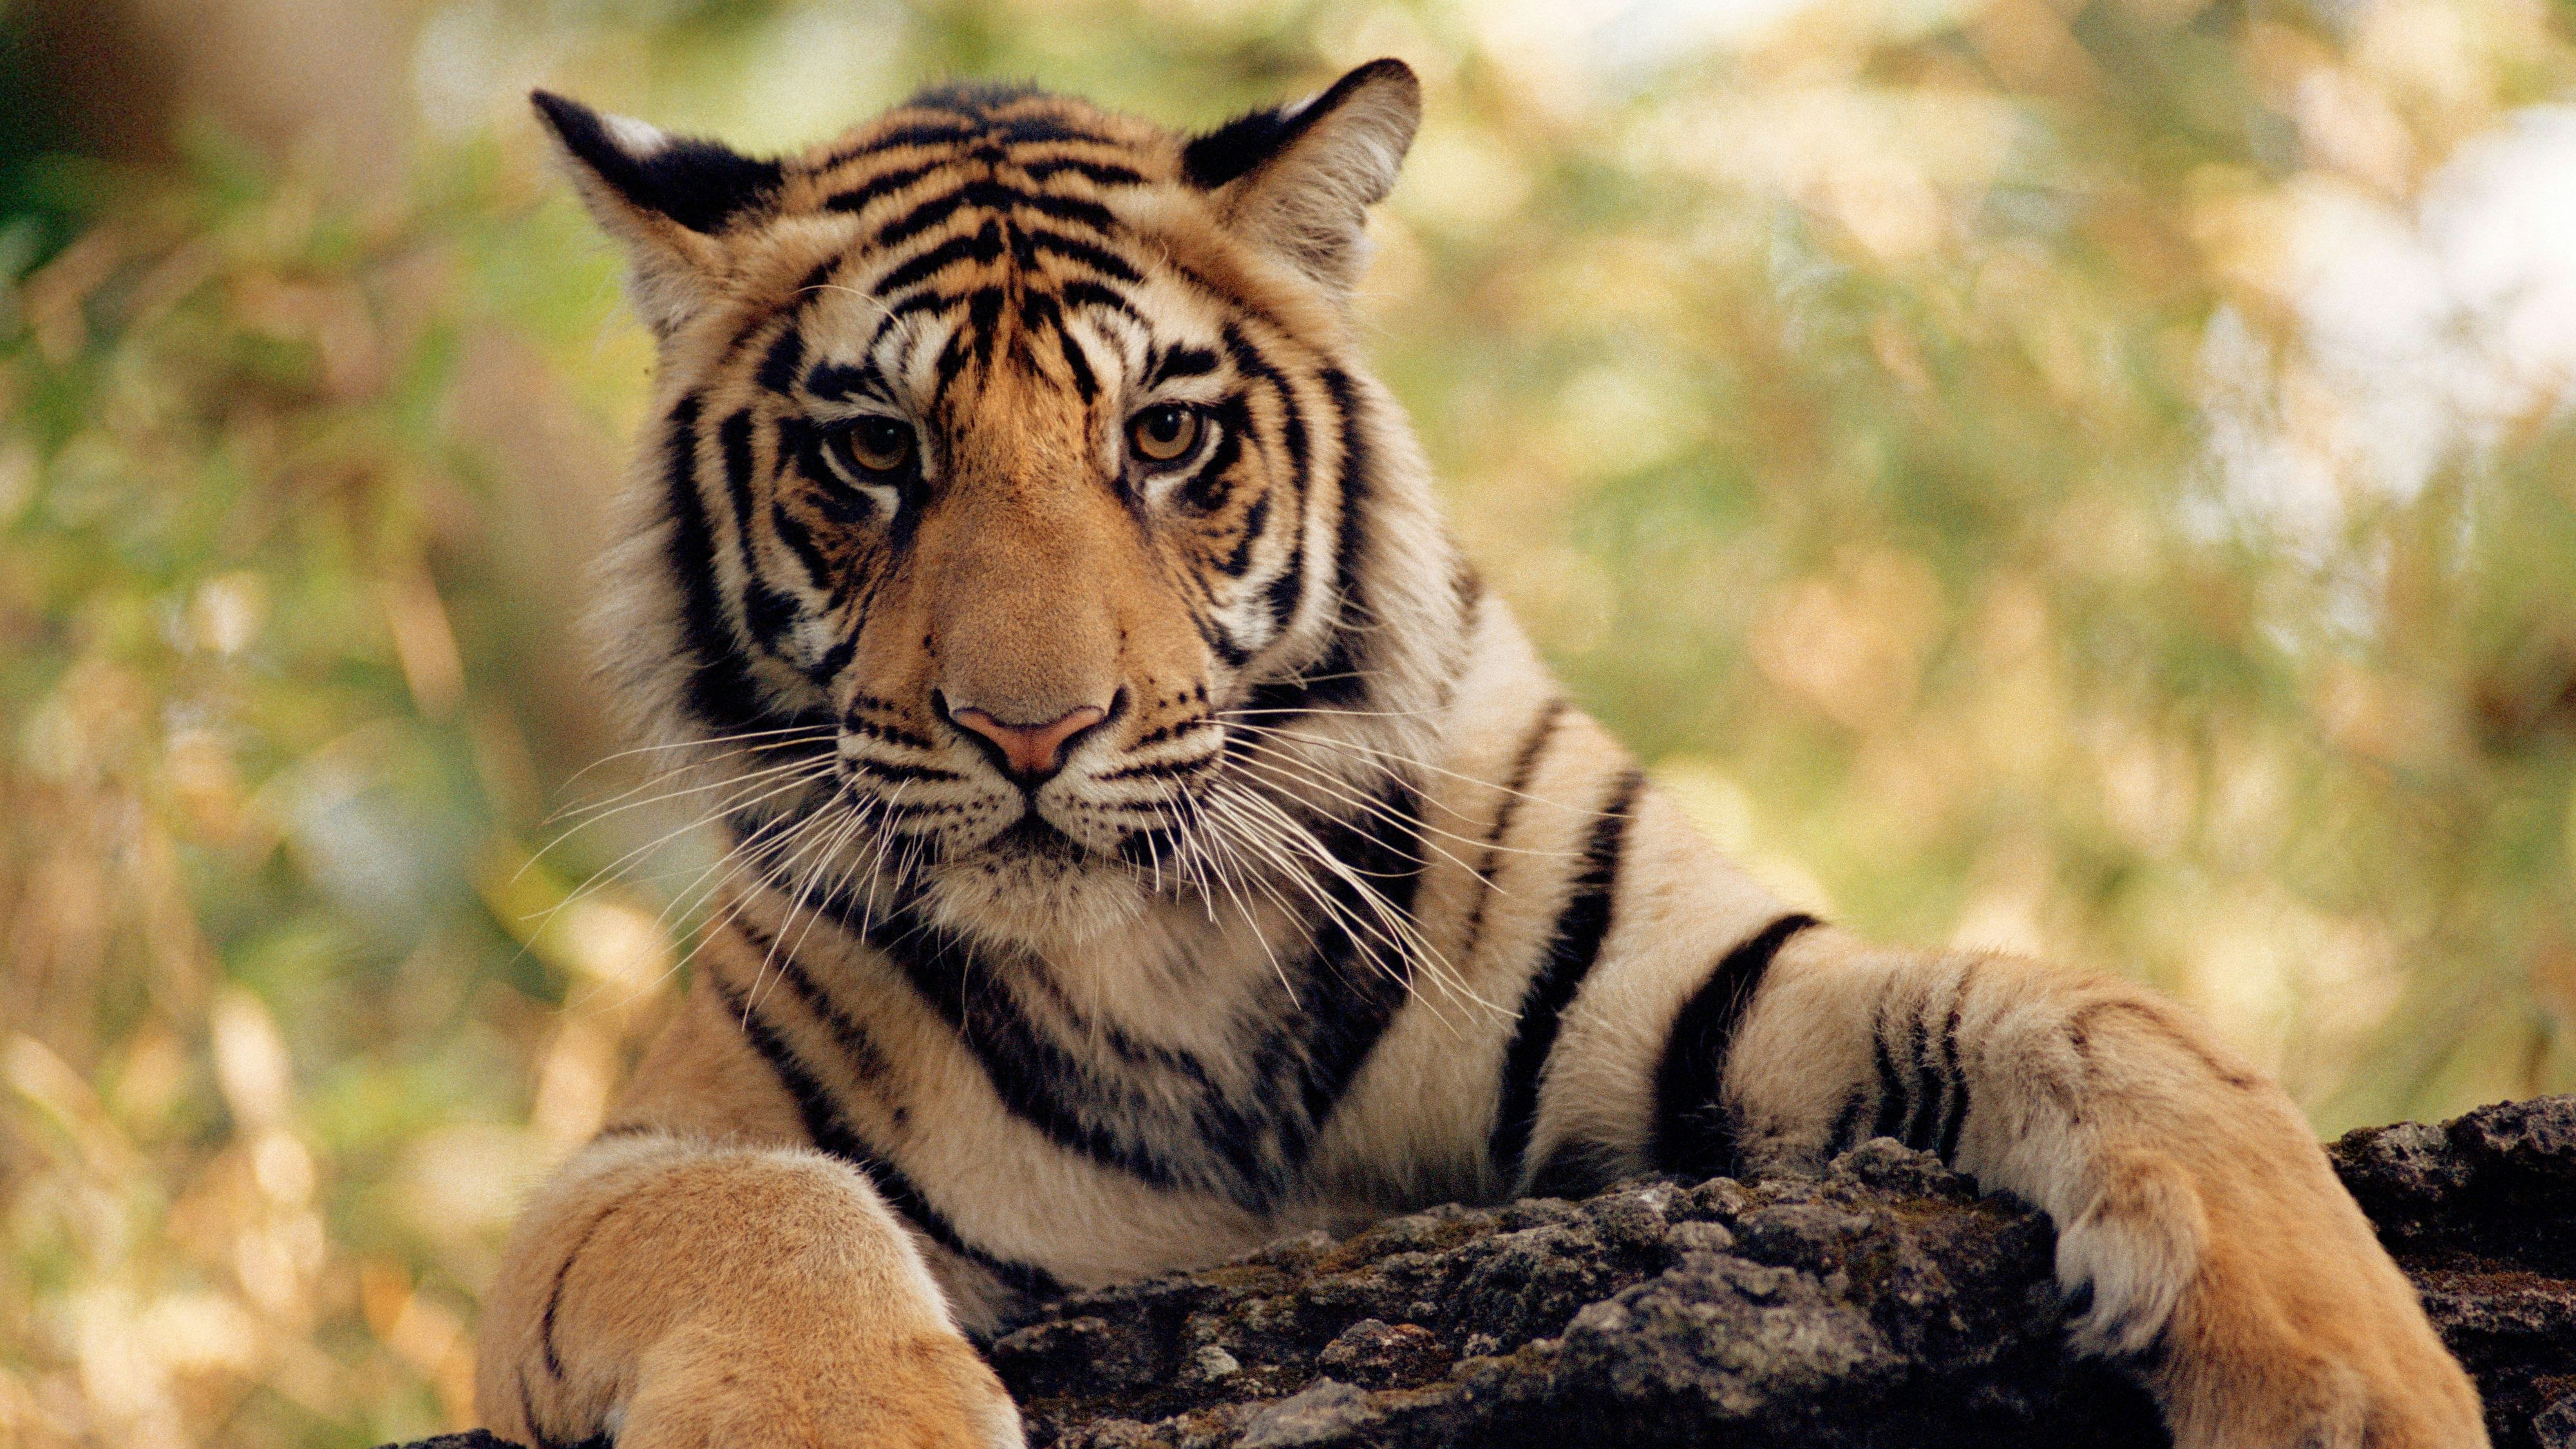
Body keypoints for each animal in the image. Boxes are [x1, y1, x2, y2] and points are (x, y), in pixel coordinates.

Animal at [476, 60, 2486, 1449]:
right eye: (876, 451)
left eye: (1167, 436)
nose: (1031, 729)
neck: (1159, 947)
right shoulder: (632, 1163)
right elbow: (758, 1205)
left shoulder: (1699, 994)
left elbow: (2102, 1015)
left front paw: (2355, 1372)